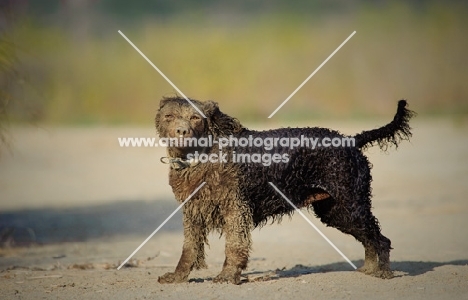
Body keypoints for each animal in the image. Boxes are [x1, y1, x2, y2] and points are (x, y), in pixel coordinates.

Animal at [154, 96, 414, 284]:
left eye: (195, 118)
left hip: (351, 206)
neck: (205, 156)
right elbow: (188, 250)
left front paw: (228, 277)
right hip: (337, 212)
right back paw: (369, 269)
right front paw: (177, 277)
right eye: (169, 116)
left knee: (381, 239)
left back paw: (383, 273)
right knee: (369, 239)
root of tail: (351, 141)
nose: (181, 131)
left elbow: (234, 246)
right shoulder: (192, 212)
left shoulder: (236, 209)